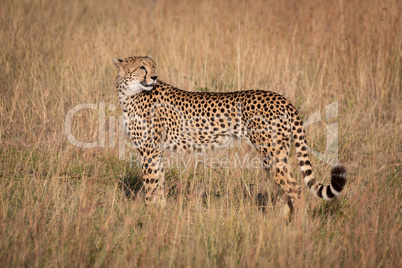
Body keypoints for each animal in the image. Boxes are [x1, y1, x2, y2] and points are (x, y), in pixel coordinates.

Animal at [112, 56, 346, 214]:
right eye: (142, 67)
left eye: (153, 66)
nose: (154, 76)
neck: (130, 94)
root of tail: (281, 98)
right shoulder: (156, 152)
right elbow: (159, 184)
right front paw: (161, 212)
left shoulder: (149, 152)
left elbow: (151, 185)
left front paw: (149, 217)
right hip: (277, 154)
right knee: (284, 189)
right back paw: (280, 223)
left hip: (270, 152)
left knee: (295, 189)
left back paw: (298, 228)